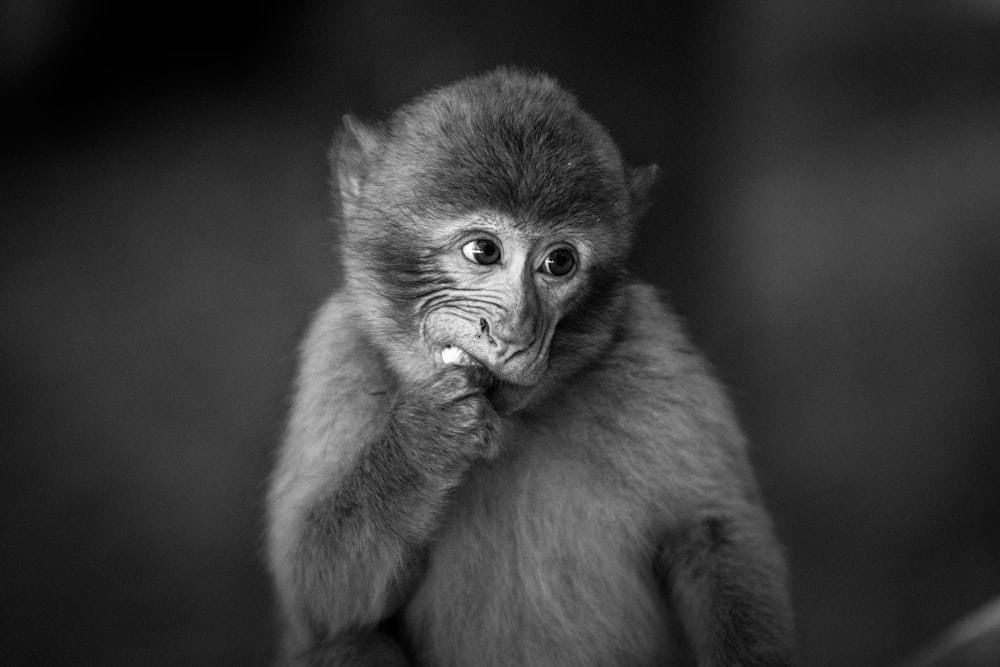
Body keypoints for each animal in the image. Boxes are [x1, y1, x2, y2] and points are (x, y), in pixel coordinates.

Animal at [266, 69, 796, 667]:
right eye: (483, 251)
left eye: (558, 262)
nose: (516, 331)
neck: (512, 423)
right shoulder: (338, 353)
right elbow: (320, 602)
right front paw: (423, 441)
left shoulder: (652, 348)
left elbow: (713, 532)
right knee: (354, 643)